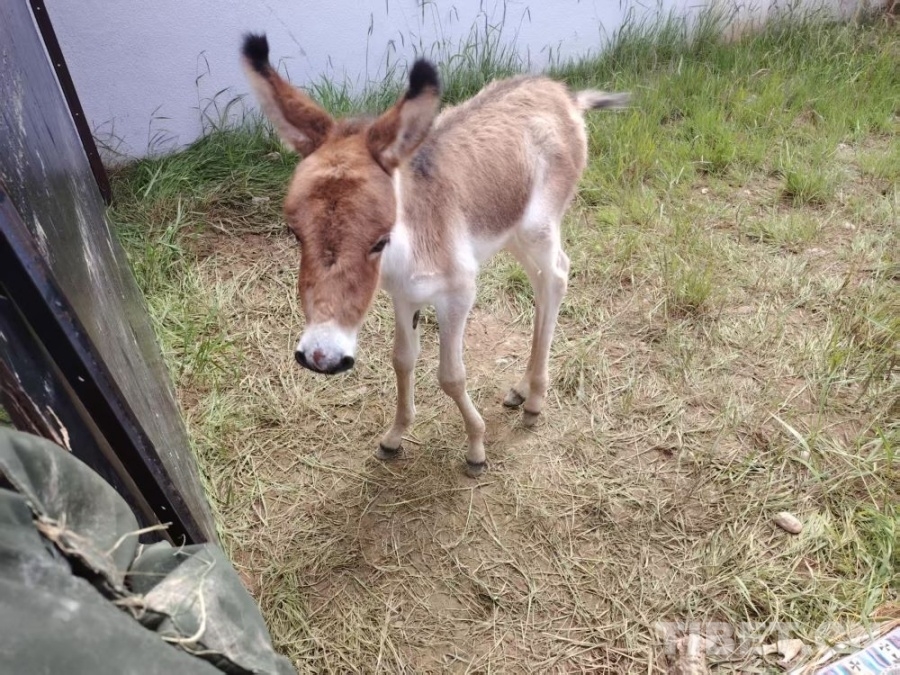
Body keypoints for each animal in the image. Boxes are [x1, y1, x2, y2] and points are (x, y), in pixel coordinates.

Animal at [241, 34, 628, 477]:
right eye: (294, 233)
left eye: (379, 240)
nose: (322, 357)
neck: (407, 247)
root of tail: (563, 93)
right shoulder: (403, 296)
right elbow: (402, 360)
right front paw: (394, 437)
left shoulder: (458, 296)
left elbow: (451, 376)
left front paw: (476, 448)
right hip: (513, 233)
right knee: (542, 284)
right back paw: (521, 390)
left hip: (539, 229)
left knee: (558, 277)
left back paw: (534, 402)